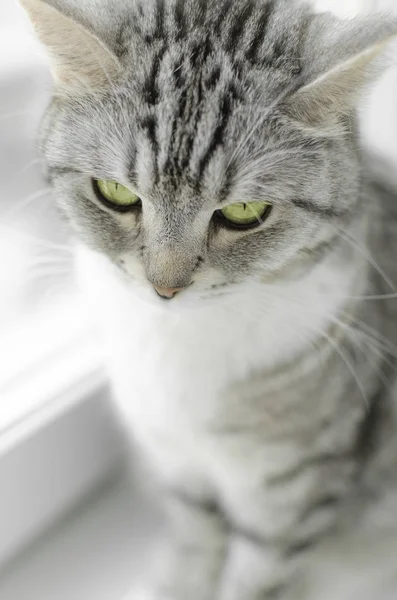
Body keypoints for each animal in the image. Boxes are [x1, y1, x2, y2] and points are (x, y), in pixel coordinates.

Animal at [20, 1, 396, 600]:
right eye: (116, 193)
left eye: (244, 212)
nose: (164, 286)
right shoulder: (177, 470)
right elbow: (193, 547)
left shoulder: (289, 494)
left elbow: (254, 578)